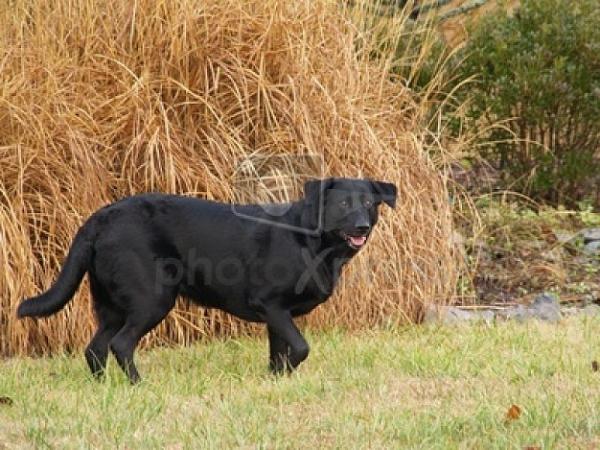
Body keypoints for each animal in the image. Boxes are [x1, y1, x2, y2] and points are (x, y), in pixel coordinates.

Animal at [16, 178, 396, 382]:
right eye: (343, 204)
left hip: (111, 306)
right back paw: (139, 385)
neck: (313, 242)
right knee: (120, 345)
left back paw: (106, 388)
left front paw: (275, 381)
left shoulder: (277, 316)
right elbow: (301, 348)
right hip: (151, 300)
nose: (362, 226)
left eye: (369, 202)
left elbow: (279, 354)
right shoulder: (270, 304)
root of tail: (100, 218)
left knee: (95, 349)